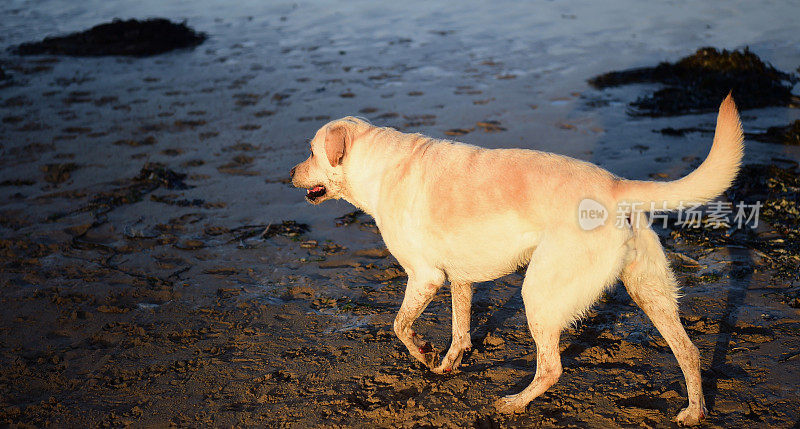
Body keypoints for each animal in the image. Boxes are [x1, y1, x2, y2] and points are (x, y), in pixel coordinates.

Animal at [290, 94, 744, 424]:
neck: (378, 166)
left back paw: (514, 403)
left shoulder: (425, 276)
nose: (289, 174)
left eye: (310, 151)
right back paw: (694, 412)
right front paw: (447, 364)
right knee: (689, 351)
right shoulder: (460, 279)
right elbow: (460, 330)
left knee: (551, 368)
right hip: (650, 291)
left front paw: (423, 353)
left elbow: (400, 326)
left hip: (538, 293)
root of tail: (616, 185)